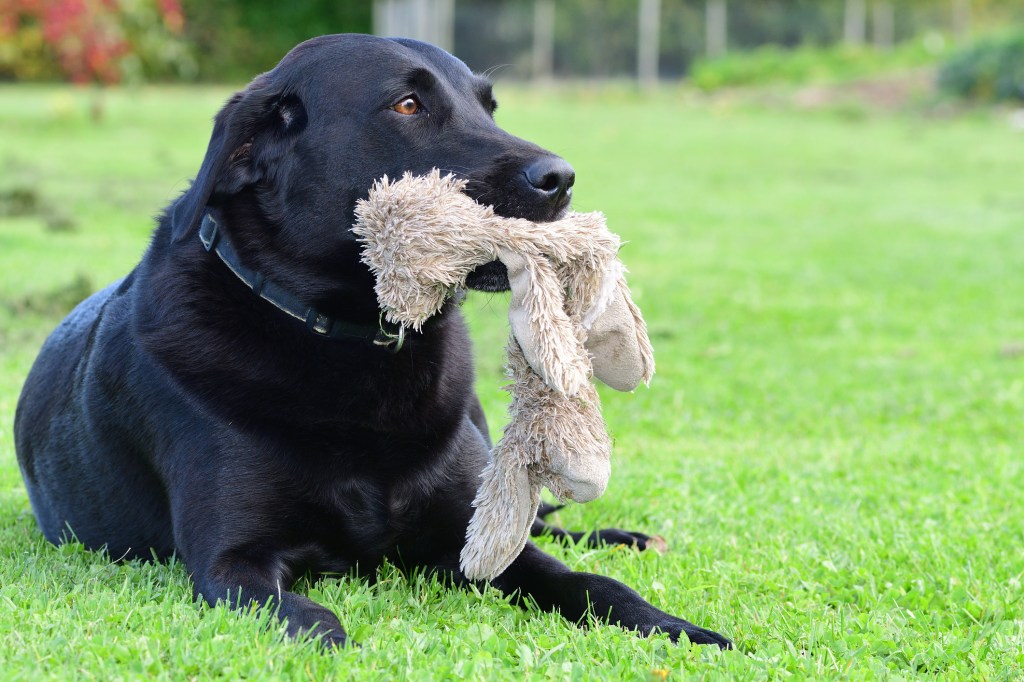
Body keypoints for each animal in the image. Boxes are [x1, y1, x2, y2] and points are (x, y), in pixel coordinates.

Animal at [16, 35, 733, 647]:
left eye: (488, 105)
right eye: (407, 105)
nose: (561, 178)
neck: (353, 342)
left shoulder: (477, 541)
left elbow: (589, 583)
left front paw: (680, 628)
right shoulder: (232, 561)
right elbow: (310, 620)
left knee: (551, 523)